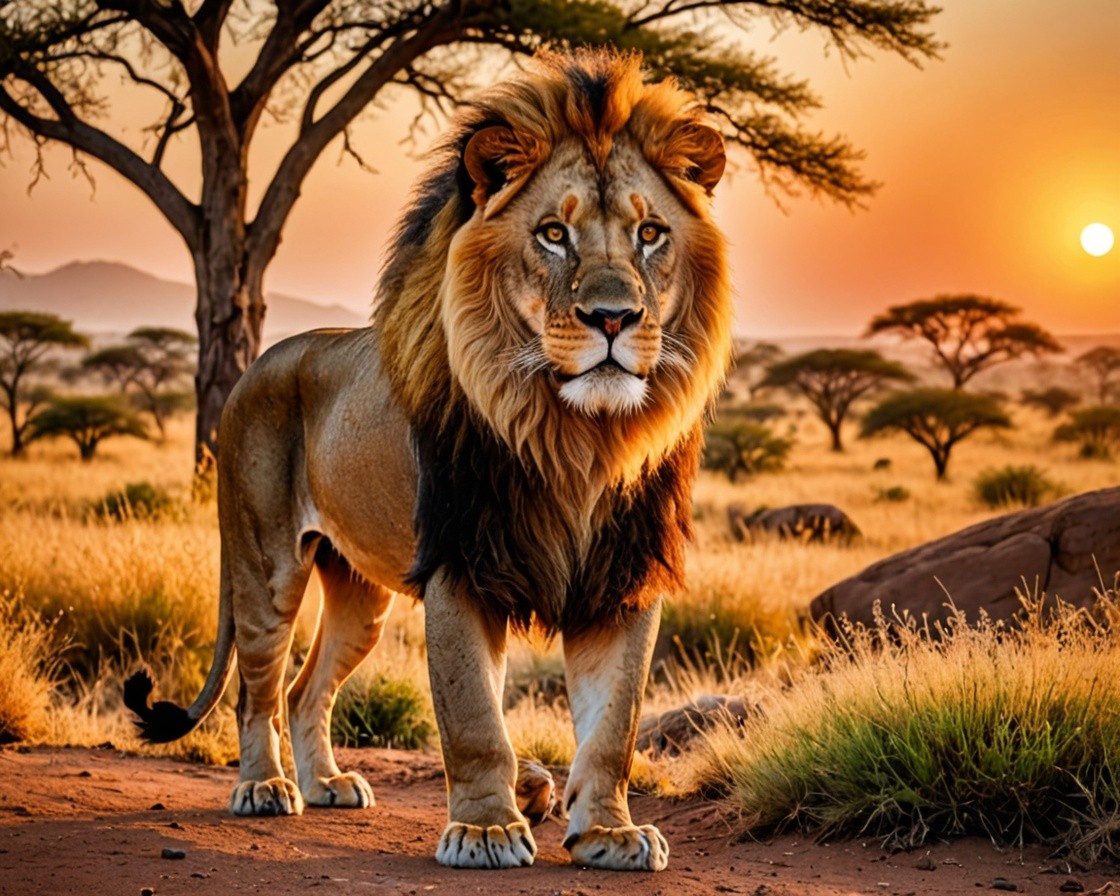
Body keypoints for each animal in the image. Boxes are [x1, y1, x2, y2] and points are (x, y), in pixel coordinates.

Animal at [124, 48, 732, 872]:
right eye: (552, 233)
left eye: (650, 233)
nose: (613, 317)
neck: (579, 438)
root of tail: (263, 361)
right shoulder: (460, 564)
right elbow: (474, 716)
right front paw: (485, 830)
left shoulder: (623, 576)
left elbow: (614, 726)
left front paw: (608, 832)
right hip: (264, 566)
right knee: (259, 688)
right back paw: (264, 787)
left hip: (361, 597)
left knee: (306, 689)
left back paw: (328, 784)